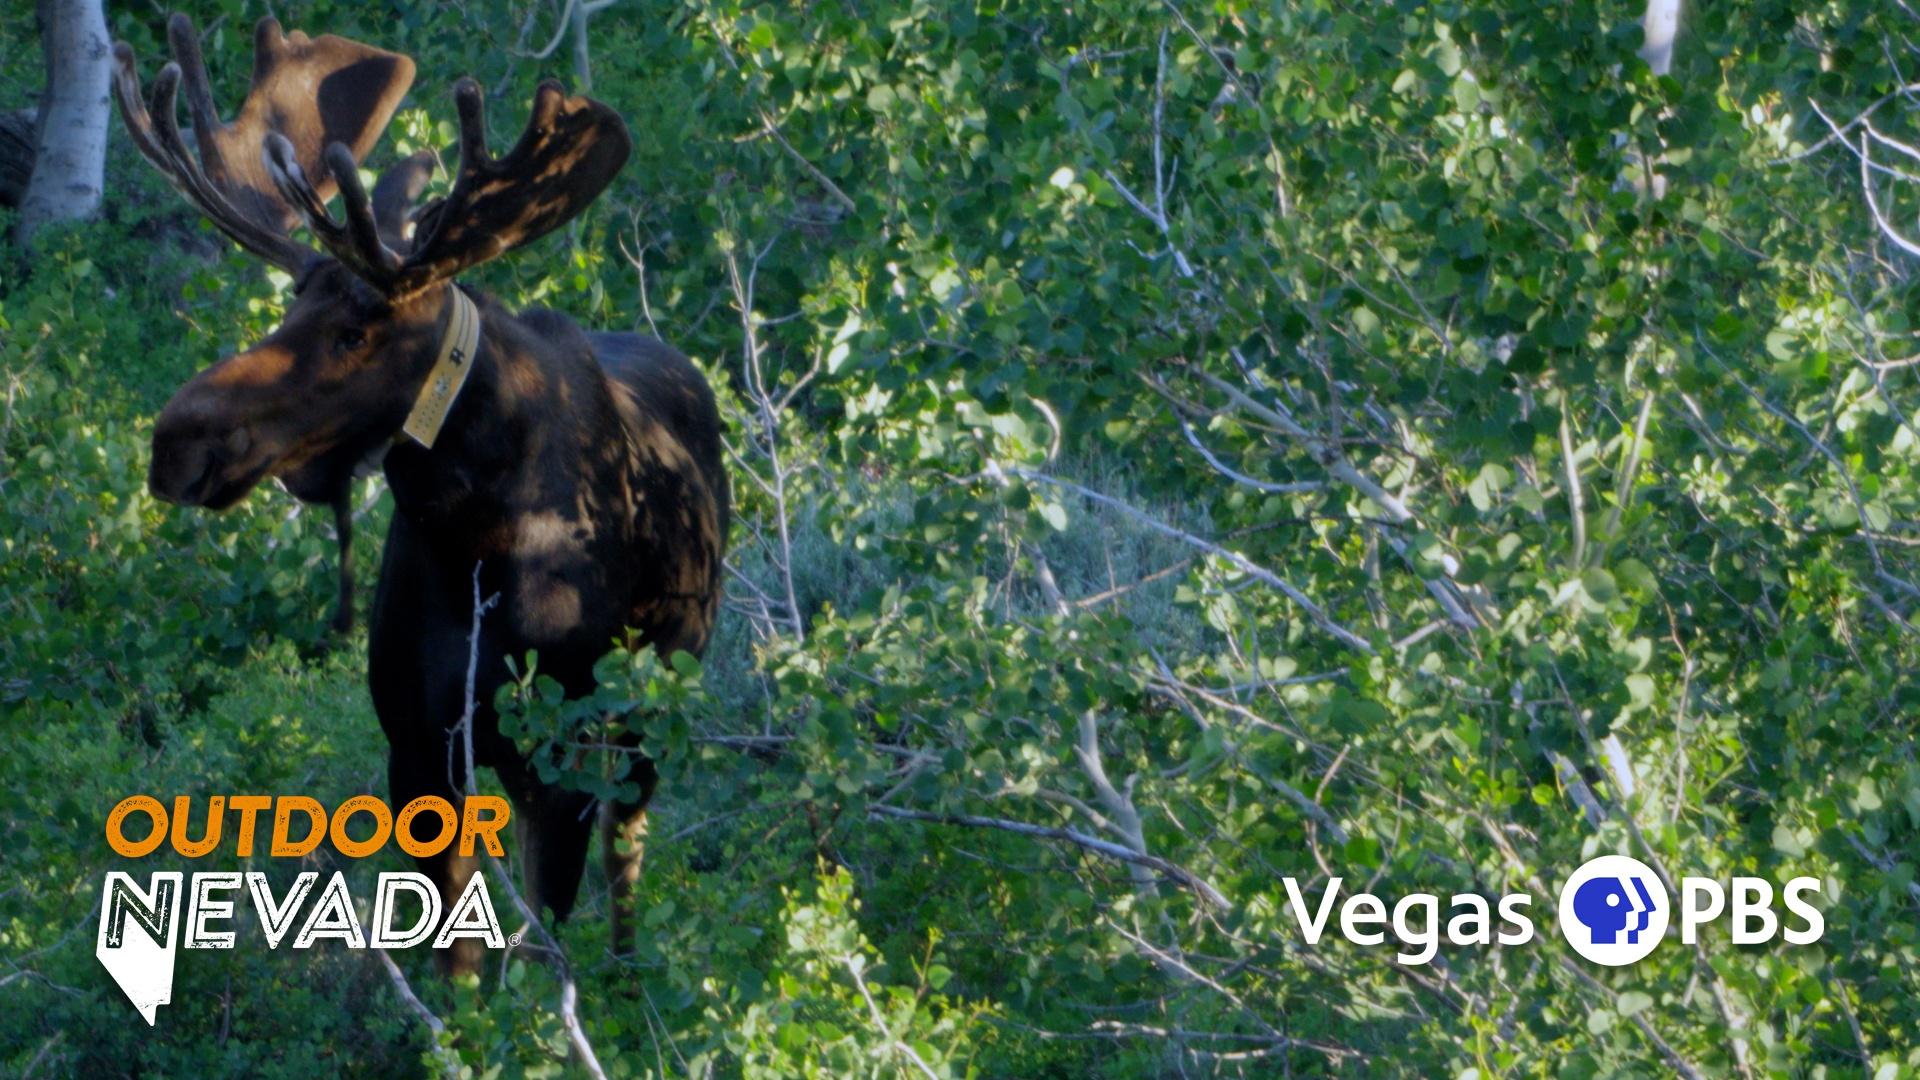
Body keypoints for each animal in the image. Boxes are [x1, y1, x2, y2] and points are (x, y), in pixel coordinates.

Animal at [114, 12, 725, 972]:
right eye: (288, 306)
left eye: (357, 329)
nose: (175, 440)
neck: (473, 530)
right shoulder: (419, 747)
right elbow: (458, 957)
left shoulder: (559, 746)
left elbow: (539, 948)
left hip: (650, 714)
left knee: (627, 861)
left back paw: (630, 986)